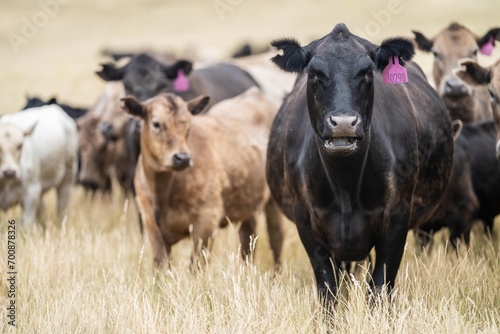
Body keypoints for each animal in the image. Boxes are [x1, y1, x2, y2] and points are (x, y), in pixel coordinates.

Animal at [121, 87, 284, 268]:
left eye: (189, 125)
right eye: (156, 123)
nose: (183, 158)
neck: (163, 191)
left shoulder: (206, 219)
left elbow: (196, 263)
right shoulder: (150, 224)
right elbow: (161, 264)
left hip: (274, 200)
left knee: (276, 238)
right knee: (248, 238)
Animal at [268, 23, 456, 304]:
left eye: (367, 72)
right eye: (313, 73)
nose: (344, 123)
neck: (345, 185)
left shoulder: (397, 221)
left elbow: (379, 287)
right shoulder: (307, 225)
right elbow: (328, 289)